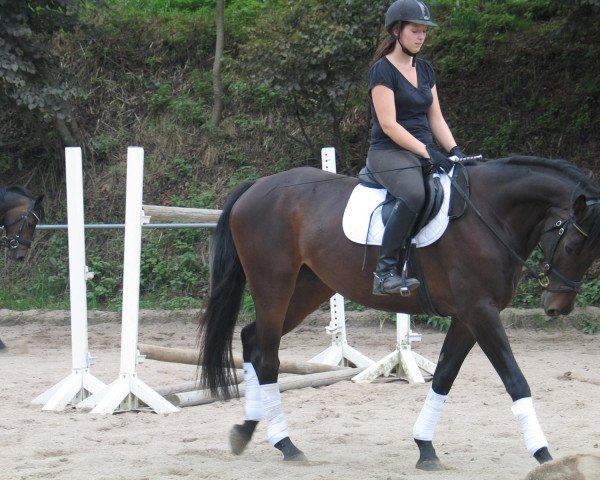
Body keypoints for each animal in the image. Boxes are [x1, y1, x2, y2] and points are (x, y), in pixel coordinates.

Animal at [199, 157, 600, 468]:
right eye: (574, 244)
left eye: (592, 251)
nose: (557, 307)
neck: (490, 215)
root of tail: (256, 187)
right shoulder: (480, 312)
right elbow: (515, 380)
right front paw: (544, 453)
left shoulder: (466, 318)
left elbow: (444, 377)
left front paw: (425, 448)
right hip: (274, 285)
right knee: (267, 358)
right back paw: (286, 444)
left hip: (309, 288)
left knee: (252, 340)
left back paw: (248, 430)